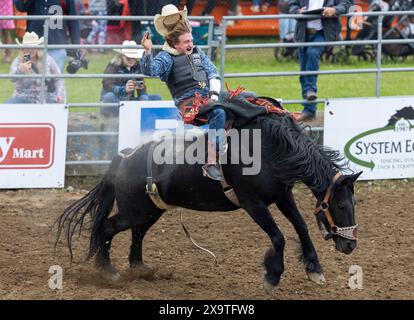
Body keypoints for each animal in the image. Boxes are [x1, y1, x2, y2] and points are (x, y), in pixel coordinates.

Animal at [55, 112, 362, 292]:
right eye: (341, 206)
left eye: (354, 203)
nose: (350, 245)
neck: (270, 150)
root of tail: (124, 156)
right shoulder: (253, 204)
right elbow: (278, 237)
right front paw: (272, 276)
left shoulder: (282, 196)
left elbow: (301, 227)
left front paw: (315, 269)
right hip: (134, 211)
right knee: (106, 228)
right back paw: (108, 272)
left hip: (150, 210)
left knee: (137, 233)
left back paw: (140, 268)